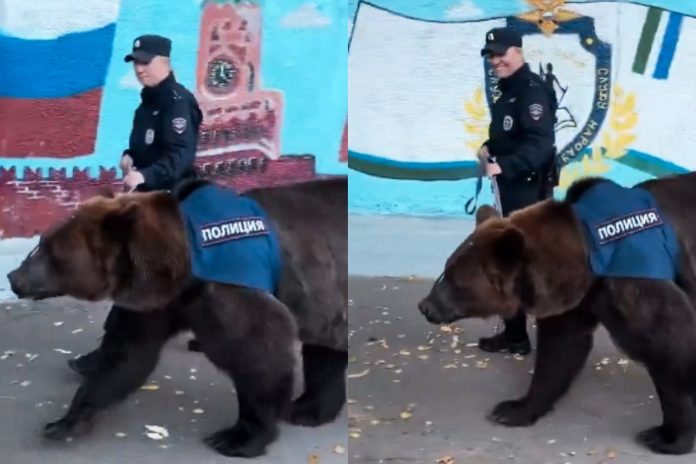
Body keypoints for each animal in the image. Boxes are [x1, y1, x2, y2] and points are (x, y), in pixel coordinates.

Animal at [7, 176, 347, 458]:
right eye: (42, 242)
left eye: (48, 250)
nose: (13, 277)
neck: (178, 270)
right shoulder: (159, 305)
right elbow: (125, 356)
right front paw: (64, 421)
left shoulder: (228, 292)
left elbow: (261, 357)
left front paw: (238, 437)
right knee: (325, 351)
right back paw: (309, 409)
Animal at [417, 172, 696, 455]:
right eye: (446, 268)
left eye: (454, 278)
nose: (426, 306)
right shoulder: (575, 302)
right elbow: (559, 352)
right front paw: (513, 409)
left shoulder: (635, 278)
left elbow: (672, 344)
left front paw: (668, 436)